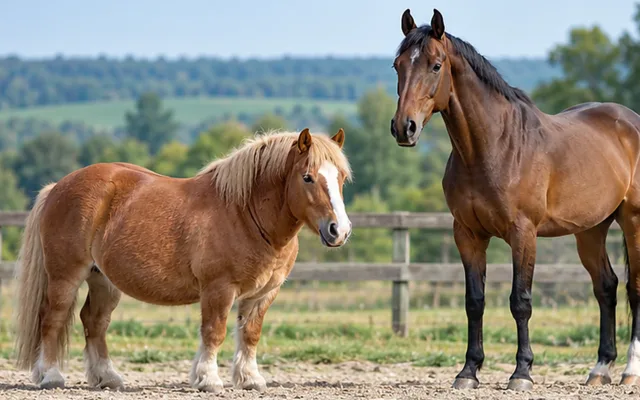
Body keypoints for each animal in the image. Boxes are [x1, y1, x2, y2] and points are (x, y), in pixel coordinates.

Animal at [13, 128, 352, 393]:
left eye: (342, 178)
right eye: (307, 177)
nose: (339, 230)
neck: (245, 215)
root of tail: (58, 186)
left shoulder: (263, 294)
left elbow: (250, 334)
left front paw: (249, 379)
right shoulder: (218, 289)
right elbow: (214, 332)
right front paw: (208, 380)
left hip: (103, 280)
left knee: (94, 321)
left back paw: (107, 378)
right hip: (65, 276)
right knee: (53, 317)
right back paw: (50, 376)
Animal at [390, 8, 640, 391]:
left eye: (435, 65)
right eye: (397, 65)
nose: (404, 128)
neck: (492, 147)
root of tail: (629, 121)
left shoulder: (523, 234)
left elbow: (520, 301)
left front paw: (522, 372)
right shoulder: (467, 234)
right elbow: (474, 301)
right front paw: (468, 371)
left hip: (632, 221)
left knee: (635, 288)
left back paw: (630, 369)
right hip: (591, 229)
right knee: (606, 287)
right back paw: (599, 369)